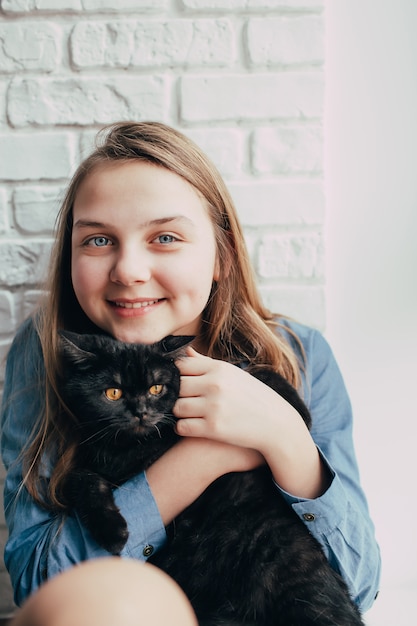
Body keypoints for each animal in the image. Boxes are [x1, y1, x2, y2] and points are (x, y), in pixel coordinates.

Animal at [57, 330, 362, 620]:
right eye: (113, 393)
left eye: (157, 387)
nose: (141, 412)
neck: (139, 445)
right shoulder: (99, 462)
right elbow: (79, 479)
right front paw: (111, 530)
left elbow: (255, 376)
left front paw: (299, 412)